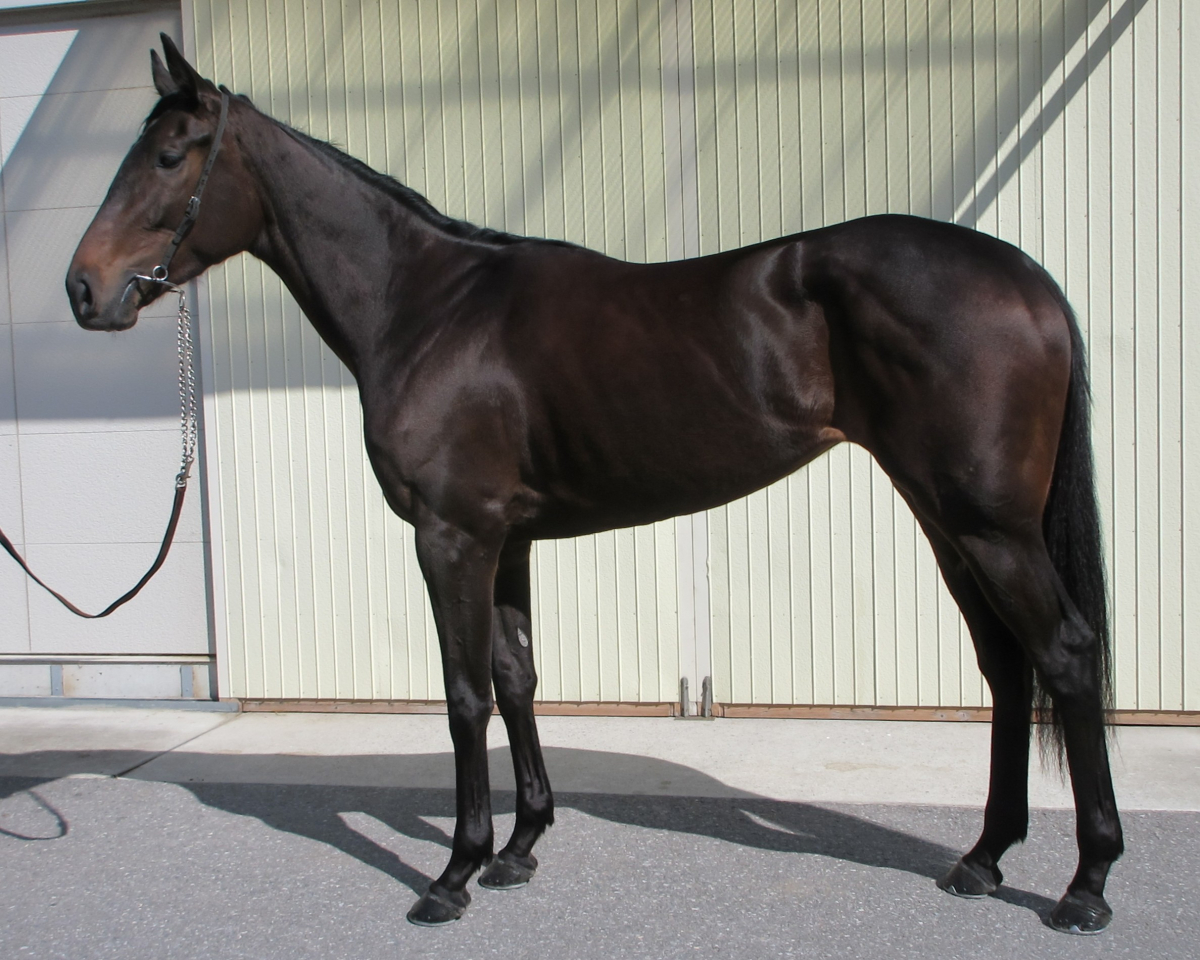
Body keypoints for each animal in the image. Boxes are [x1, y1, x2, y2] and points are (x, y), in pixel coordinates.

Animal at [67, 36, 1121, 934]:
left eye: (171, 157)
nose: (84, 290)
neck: (427, 306)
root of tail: (1027, 278)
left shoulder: (450, 535)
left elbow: (462, 693)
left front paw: (454, 873)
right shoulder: (506, 539)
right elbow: (517, 677)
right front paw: (521, 846)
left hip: (989, 527)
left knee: (1065, 655)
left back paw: (1085, 884)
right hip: (950, 522)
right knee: (1007, 665)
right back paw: (982, 859)